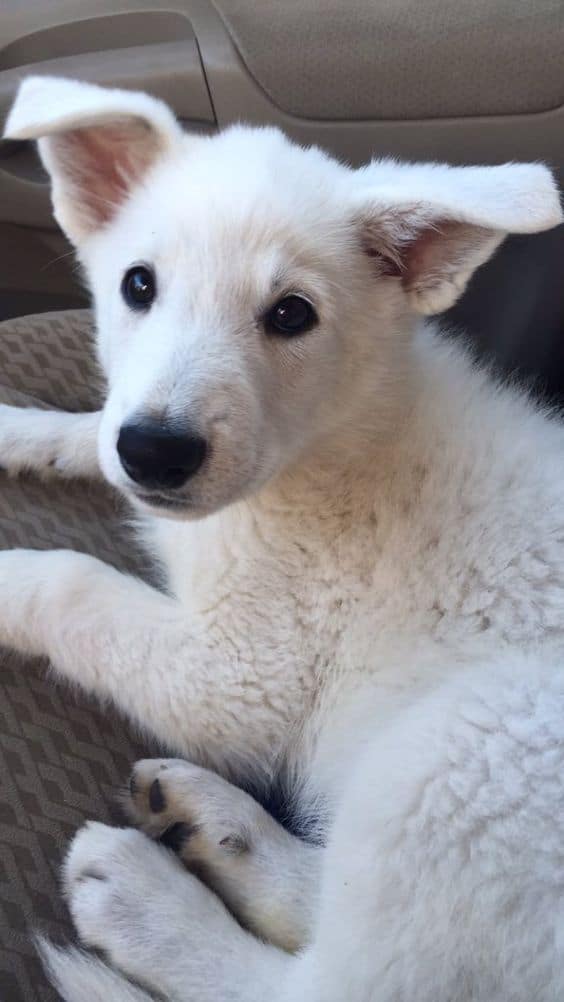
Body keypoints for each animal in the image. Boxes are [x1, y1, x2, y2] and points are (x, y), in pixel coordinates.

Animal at [3, 78, 564, 1002]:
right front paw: (18, 428)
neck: (325, 443)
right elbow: (91, 431)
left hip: (468, 756)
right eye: (138, 284)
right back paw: (222, 828)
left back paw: (146, 901)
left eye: (292, 314)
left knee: (328, 985)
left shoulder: (242, 670)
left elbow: (71, 583)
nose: (157, 451)